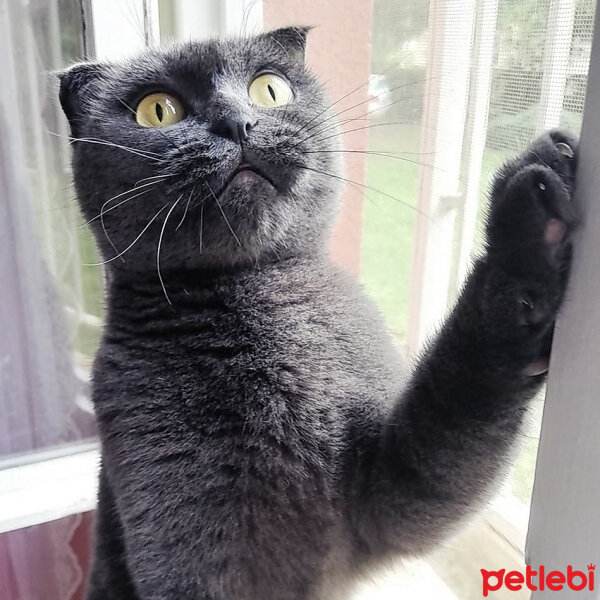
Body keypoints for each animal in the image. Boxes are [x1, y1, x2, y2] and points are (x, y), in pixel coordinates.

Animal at [59, 25, 576, 596]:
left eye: (269, 89)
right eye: (157, 110)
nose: (237, 122)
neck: (262, 307)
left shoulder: (390, 490)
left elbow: (461, 394)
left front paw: (533, 228)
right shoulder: (187, 557)